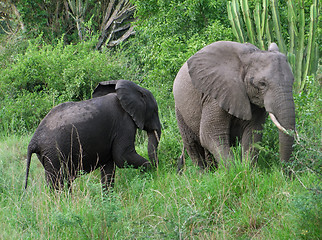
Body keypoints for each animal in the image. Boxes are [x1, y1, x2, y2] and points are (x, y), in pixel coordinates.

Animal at [24, 80, 161, 191]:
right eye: (155, 111)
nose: (158, 170)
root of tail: (33, 141)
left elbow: (109, 167)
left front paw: (108, 201)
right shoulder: (124, 124)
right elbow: (122, 157)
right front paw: (149, 170)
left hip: (48, 155)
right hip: (54, 152)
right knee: (58, 181)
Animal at [175, 40, 296, 169]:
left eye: (292, 81)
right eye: (262, 84)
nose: (284, 171)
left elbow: (252, 134)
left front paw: (248, 169)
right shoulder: (216, 93)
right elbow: (210, 136)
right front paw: (235, 170)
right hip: (179, 109)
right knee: (193, 145)